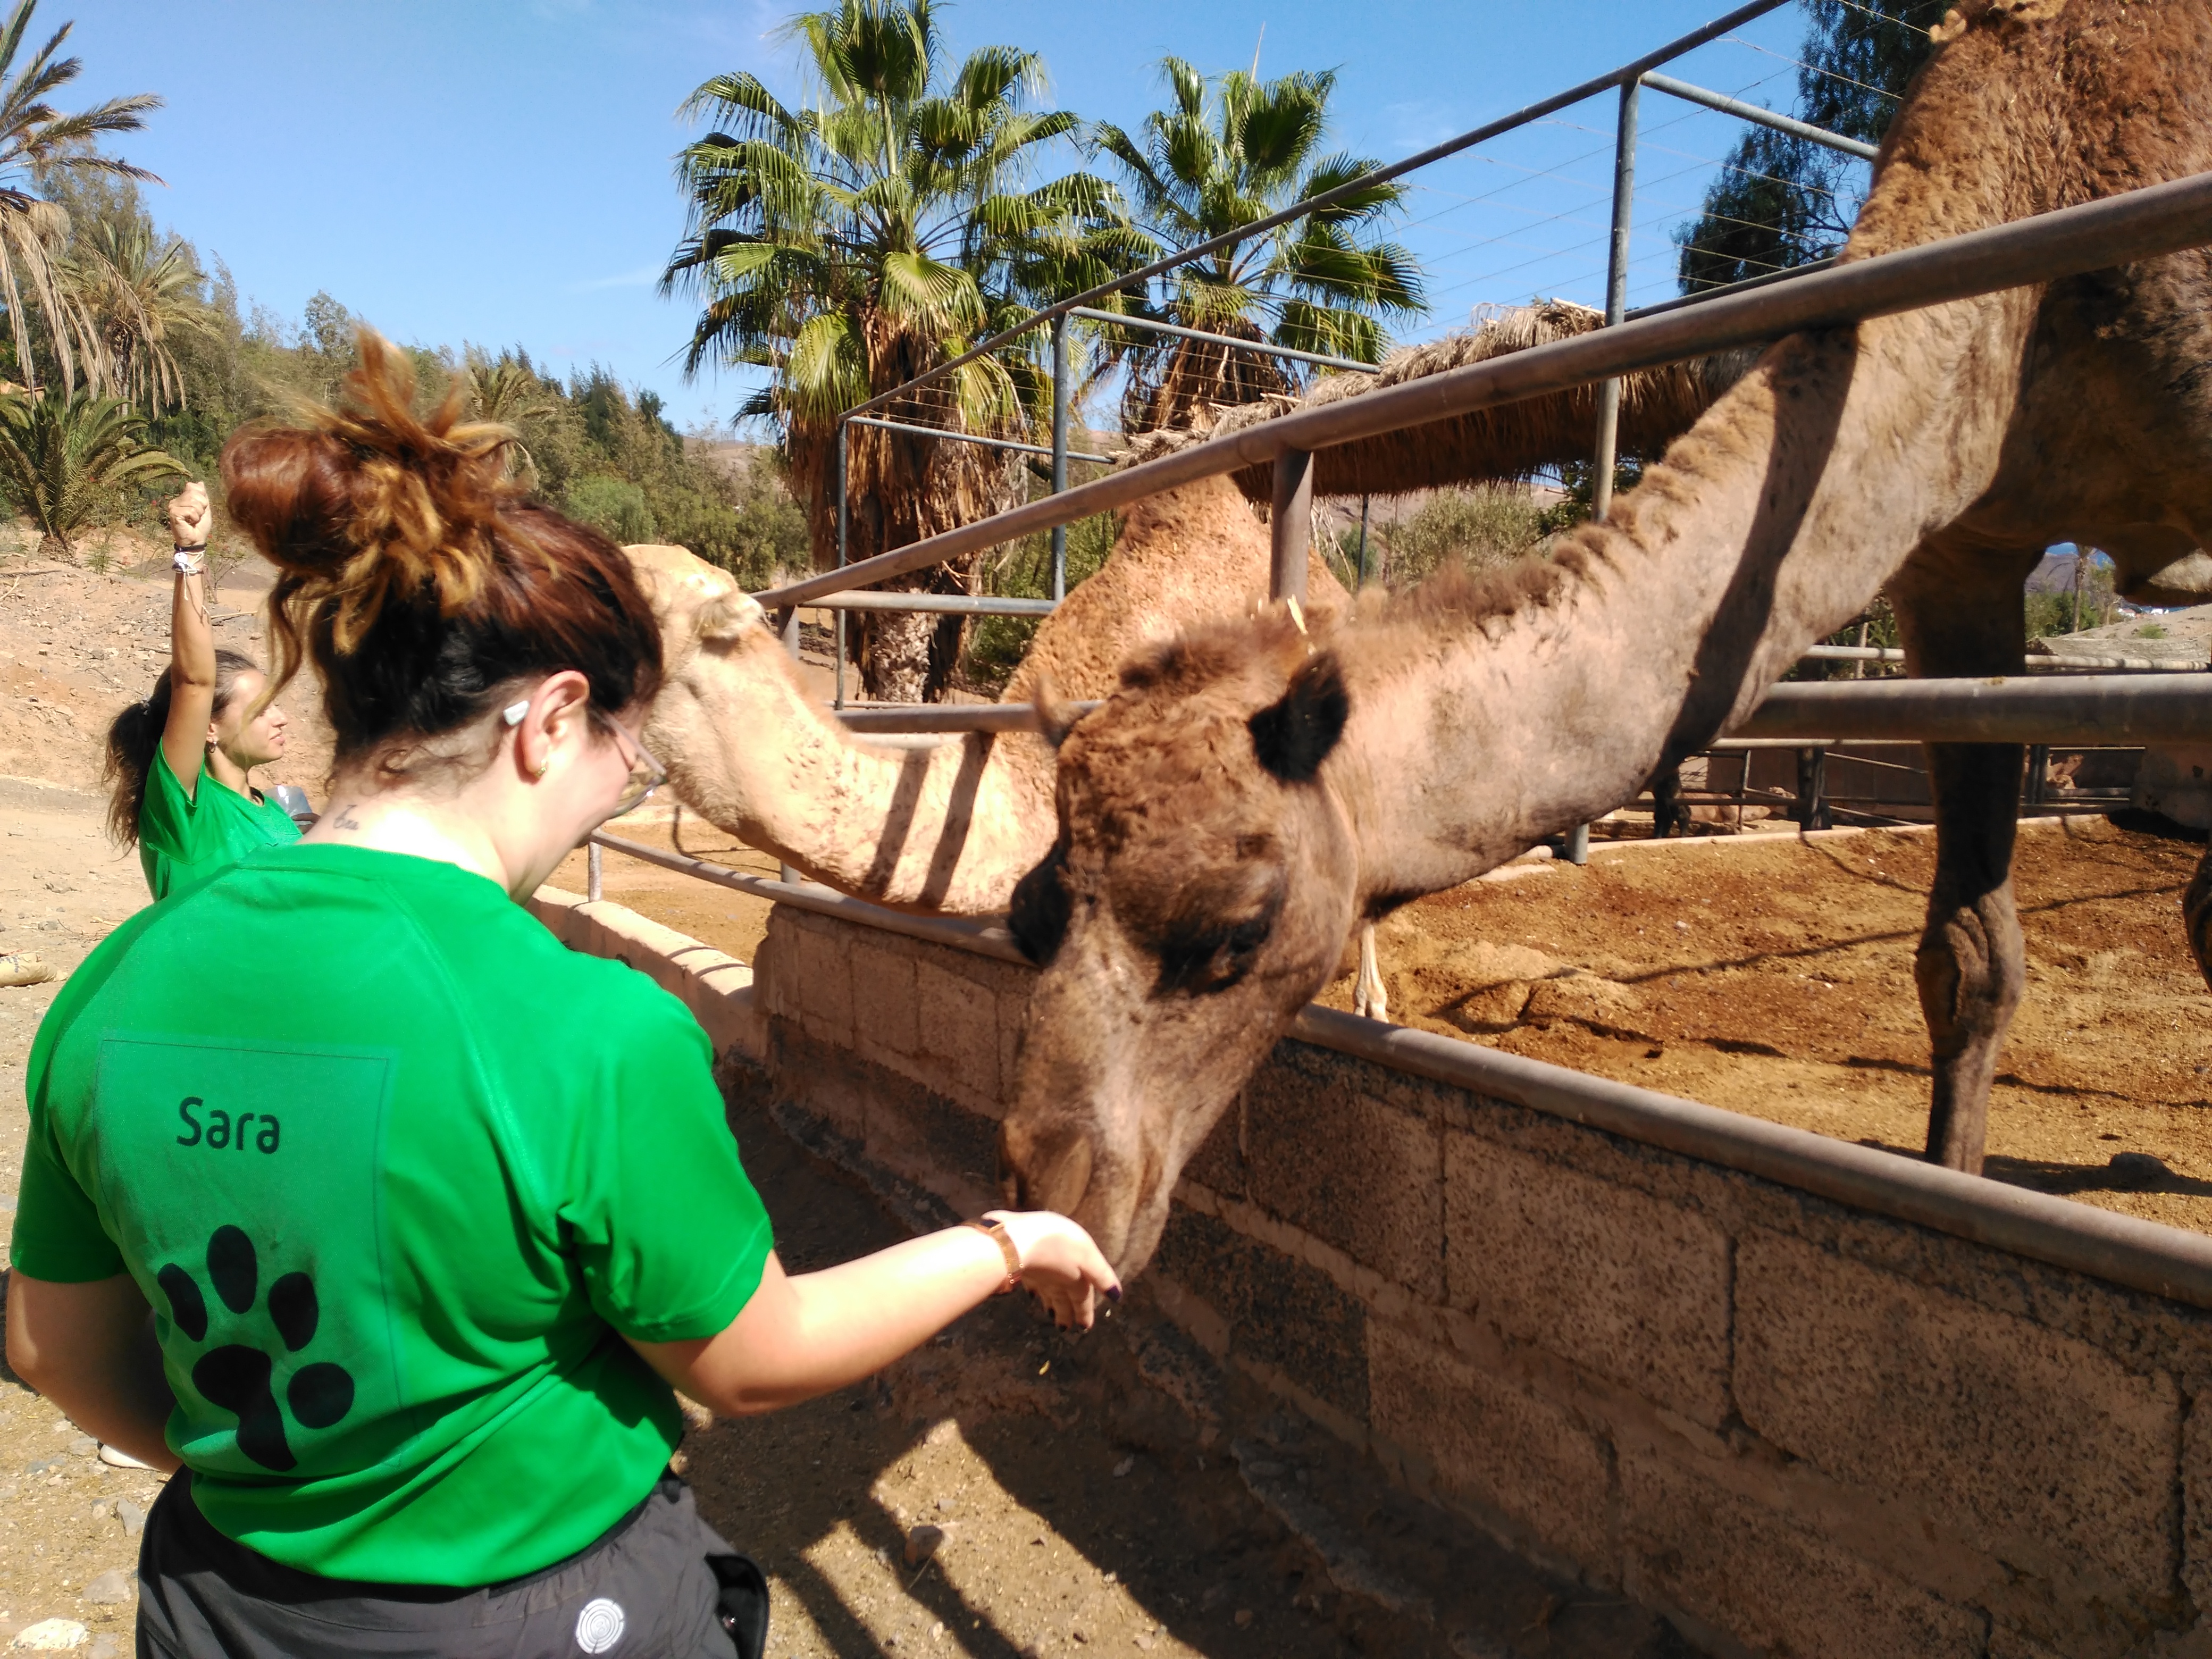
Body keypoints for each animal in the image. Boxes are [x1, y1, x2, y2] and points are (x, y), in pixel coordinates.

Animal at [1000, 0, 2212, 1283]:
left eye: (1238, 929)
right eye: (1034, 911)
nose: (1053, 1191)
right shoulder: (1954, 549)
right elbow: (1967, 959)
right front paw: (1953, 1181)